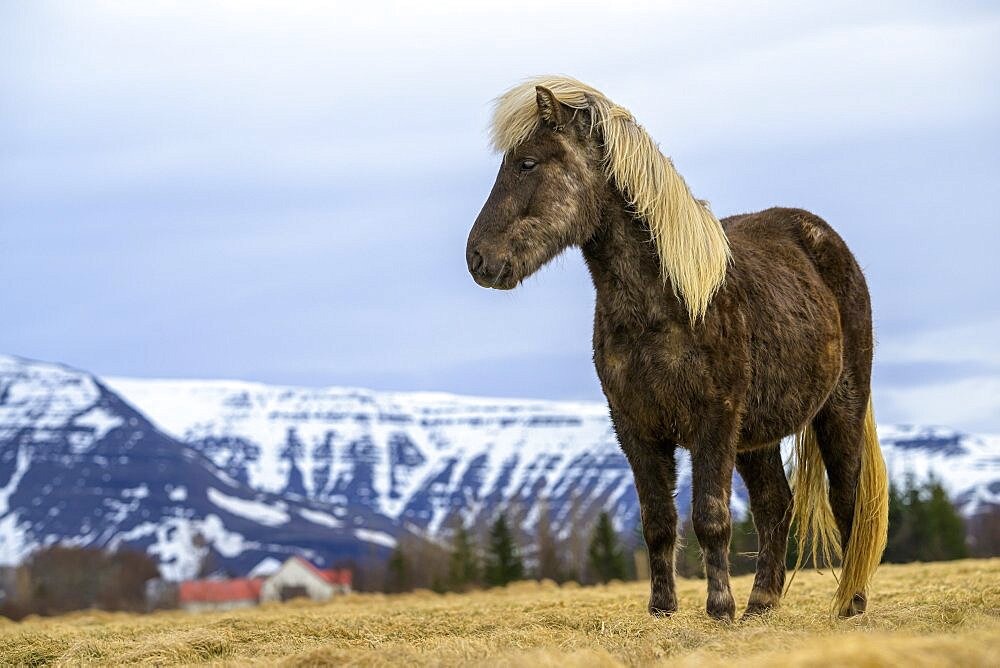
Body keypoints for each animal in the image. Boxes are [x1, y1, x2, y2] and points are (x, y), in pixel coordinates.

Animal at [464, 75, 888, 620]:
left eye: (528, 163)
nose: (478, 258)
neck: (667, 303)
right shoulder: (635, 429)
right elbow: (658, 522)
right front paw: (663, 609)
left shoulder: (715, 421)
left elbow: (709, 517)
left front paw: (719, 608)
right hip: (756, 437)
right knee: (776, 505)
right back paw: (762, 604)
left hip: (839, 408)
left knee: (848, 502)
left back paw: (850, 603)